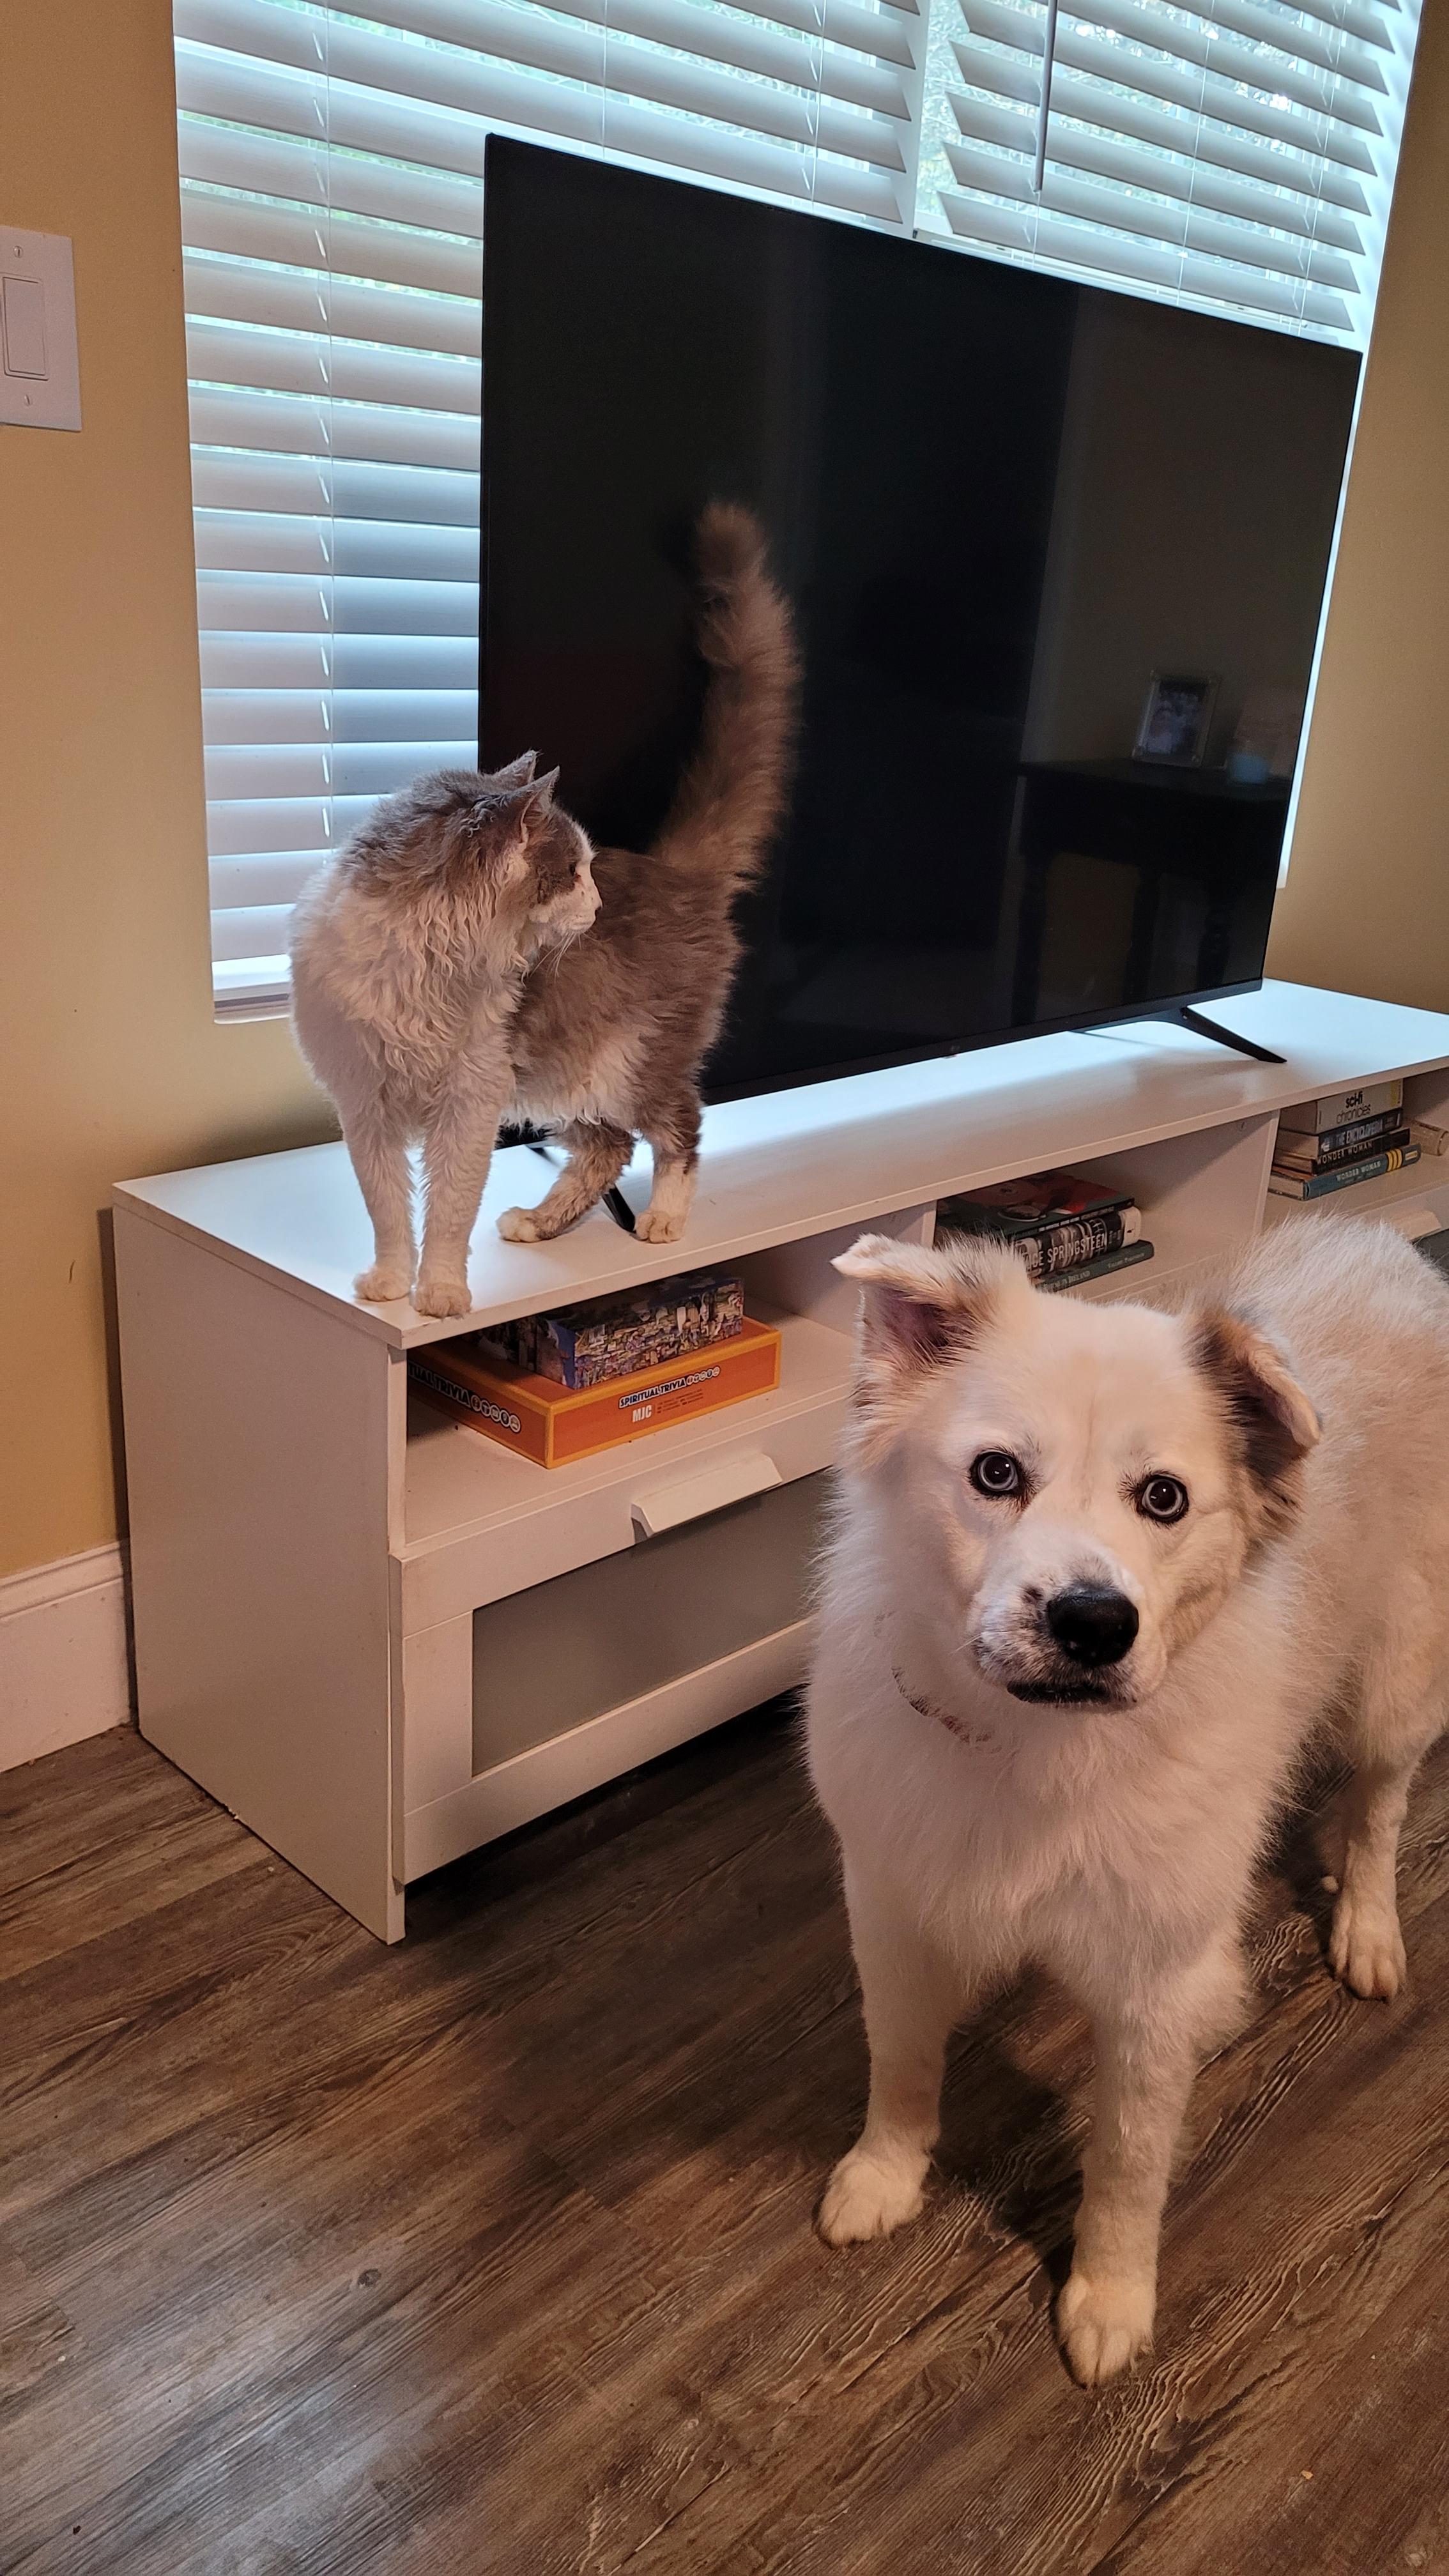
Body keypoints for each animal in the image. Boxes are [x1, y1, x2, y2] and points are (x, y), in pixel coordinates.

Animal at [290, 503, 798, 1318]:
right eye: (570, 873)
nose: (597, 901)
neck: (418, 966)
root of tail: (672, 869)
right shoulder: (365, 1107)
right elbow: (388, 1210)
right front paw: (390, 1285)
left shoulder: (470, 1102)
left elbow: (448, 1210)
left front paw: (440, 1293)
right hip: (564, 1076)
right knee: (608, 1146)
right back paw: (537, 1221)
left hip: (630, 1060)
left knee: (678, 1129)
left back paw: (661, 1219)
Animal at [805, 1214, 1449, 2386]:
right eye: (996, 1473)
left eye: (1163, 1498)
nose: (1092, 1622)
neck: (1032, 1749)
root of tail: (1375, 1238)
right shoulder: (894, 1908)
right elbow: (900, 2061)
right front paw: (884, 2175)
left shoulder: (1158, 1986)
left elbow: (1127, 2162)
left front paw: (1108, 2296)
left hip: (1394, 1681)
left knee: (1381, 1803)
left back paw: (1368, 1927)